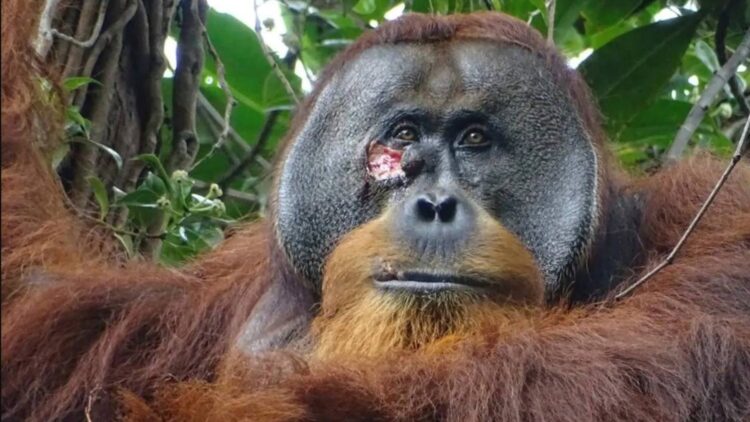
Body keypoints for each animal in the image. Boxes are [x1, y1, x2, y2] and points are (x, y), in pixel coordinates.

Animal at [2, 4, 750, 421]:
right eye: (404, 137)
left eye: (473, 139)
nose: (435, 203)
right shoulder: (196, 304)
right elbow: (39, 305)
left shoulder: (704, 222)